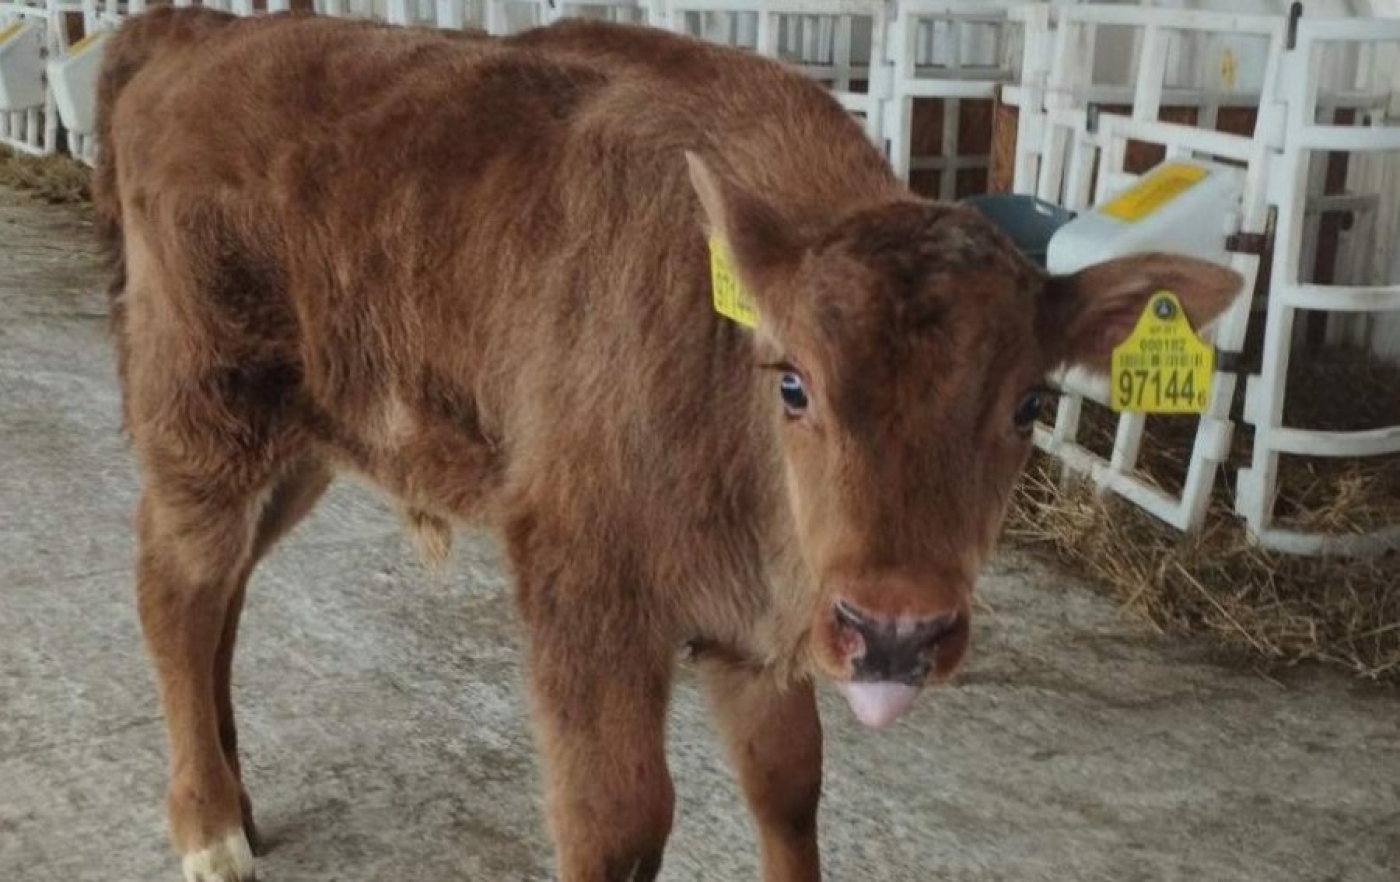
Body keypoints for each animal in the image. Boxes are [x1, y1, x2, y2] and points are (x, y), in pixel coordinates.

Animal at [94, 8, 1243, 881]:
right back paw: (210, 833)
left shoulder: (756, 631)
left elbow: (788, 789)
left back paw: (238, 803)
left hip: (302, 451)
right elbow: (620, 823)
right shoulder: (586, 608)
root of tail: (197, 37)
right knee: (173, 591)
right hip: (206, 422)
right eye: (792, 382)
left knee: (222, 595)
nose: (896, 632)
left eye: (1027, 404)